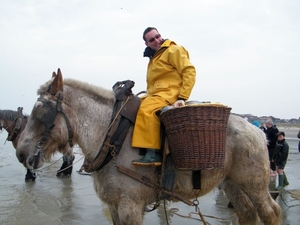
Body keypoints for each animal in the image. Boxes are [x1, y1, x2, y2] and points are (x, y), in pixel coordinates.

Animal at [15, 69, 282, 224]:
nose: (21, 153)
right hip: (231, 182)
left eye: (41, 112)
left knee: (271, 212)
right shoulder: (115, 207)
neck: (112, 136)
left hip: (254, 184)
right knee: (246, 213)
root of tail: (257, 129)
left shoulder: (130, 207)